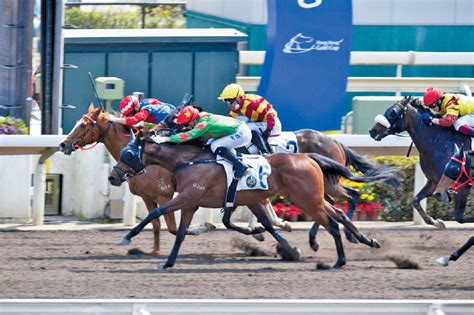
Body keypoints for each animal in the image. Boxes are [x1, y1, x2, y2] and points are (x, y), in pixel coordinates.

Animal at [110, 135, 392, 270]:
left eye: (128, 153)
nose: (113, 176)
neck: (188, 161)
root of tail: (309, 157)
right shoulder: (191, 203)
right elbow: (179, 234)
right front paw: (168, 262)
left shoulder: (187, 197)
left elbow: (155, 212)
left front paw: (128, 237)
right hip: (314, 198)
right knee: (339, 215)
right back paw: (367, 240)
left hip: (308, 200)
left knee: (332, 223)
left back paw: (339, 260)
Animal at [368, 96, 472, 227]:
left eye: (393, 112)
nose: (373, 131)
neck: (437, 143)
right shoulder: (433, 182)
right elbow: (416, 200)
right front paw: (435, 221)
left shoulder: (462, 184)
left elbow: (459, 217)